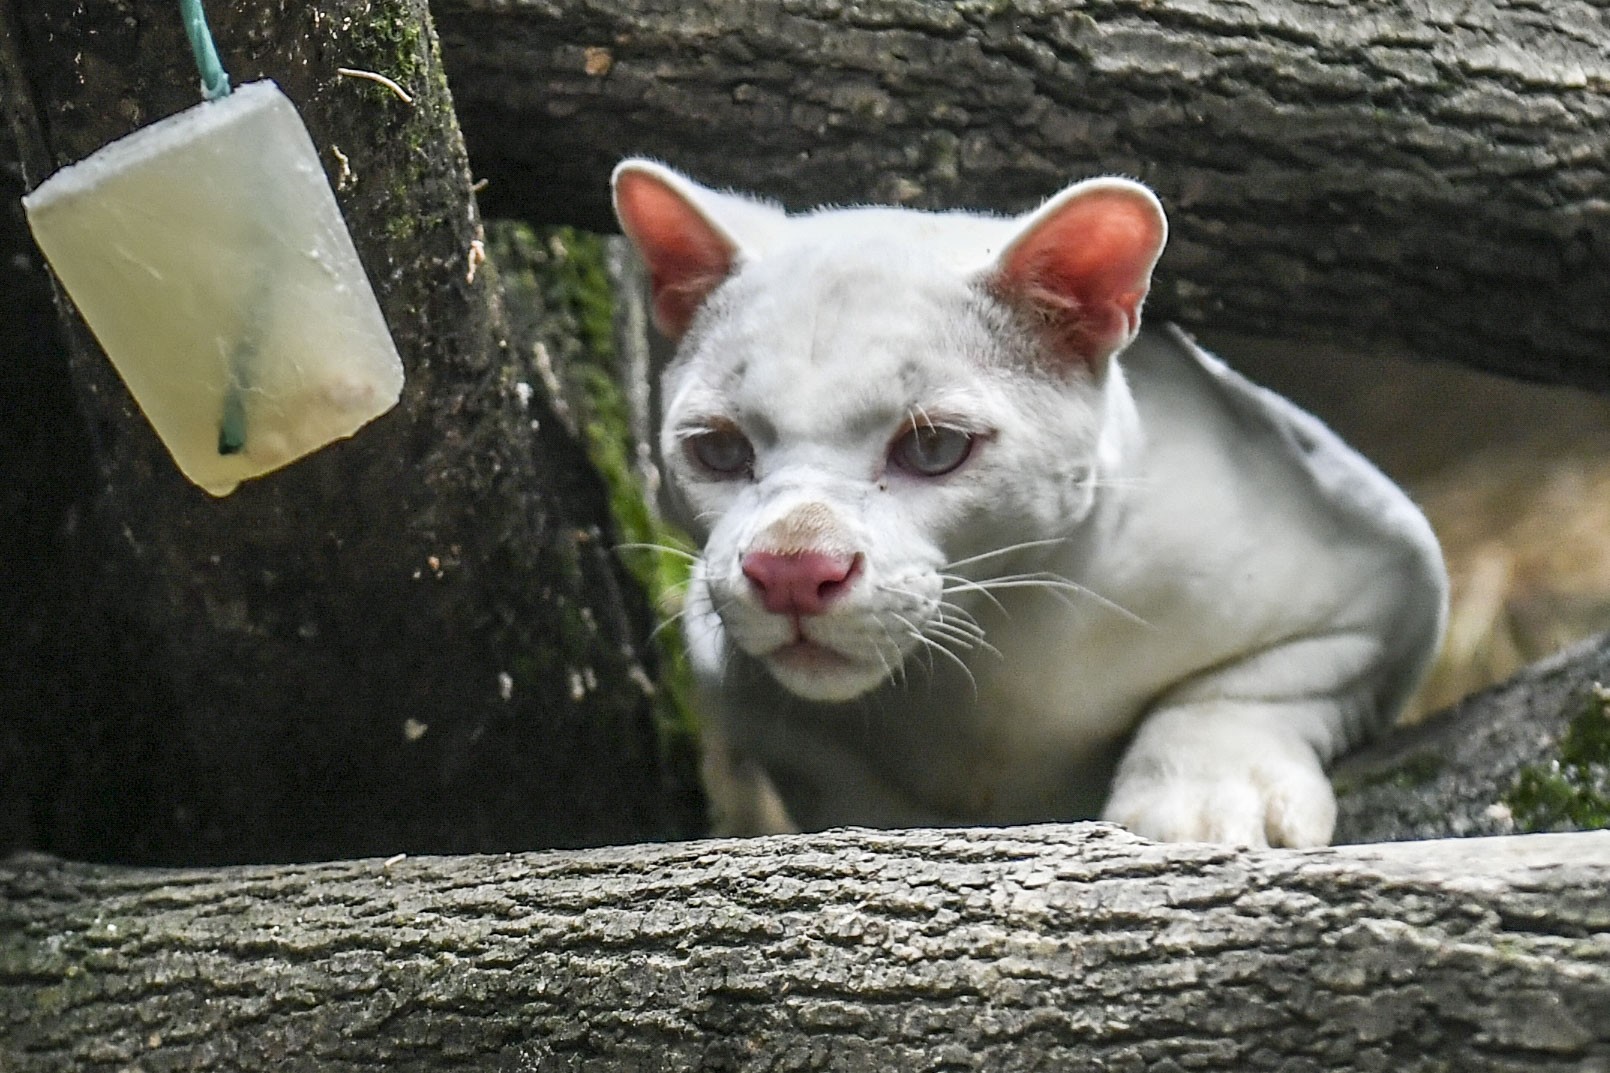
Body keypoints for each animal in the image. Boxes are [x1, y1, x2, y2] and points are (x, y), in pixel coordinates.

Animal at [611, 158, 1449, 844]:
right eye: (720, 450)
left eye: (934, 448)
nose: (792, 568)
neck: (997, 666)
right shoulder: (745, 687)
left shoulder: (1384, 571)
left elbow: (1245, 688)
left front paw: (1209, 803)